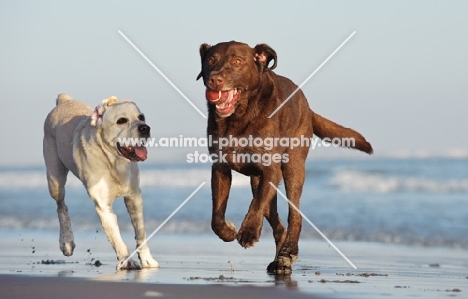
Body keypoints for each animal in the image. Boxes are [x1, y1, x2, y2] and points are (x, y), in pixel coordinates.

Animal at [43, 94, 159, 272]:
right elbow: (116, 237)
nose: (145, 128)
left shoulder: (134, 196)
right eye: (121, 120)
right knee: (61, 206)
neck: (114, 162)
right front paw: (127, 261)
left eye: (141, 117)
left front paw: (147, 260)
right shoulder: (103, 205)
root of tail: (64, 100)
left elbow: (140, 232)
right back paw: (66, 242)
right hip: (54, 178)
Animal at [196, 41, 372, 276]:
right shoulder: (220, 167)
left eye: (237, 61)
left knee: (294, 214)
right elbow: (217, 216)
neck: (240, 116)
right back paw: (281, 260)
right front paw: (228, 231)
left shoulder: (271, 168)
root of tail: (307, 105)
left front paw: (248, 231)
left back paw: (288, 251)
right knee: (277, 223)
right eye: (211, 61)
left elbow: (257, 204)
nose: (215, 79)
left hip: (292, 167)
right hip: (258, 180)